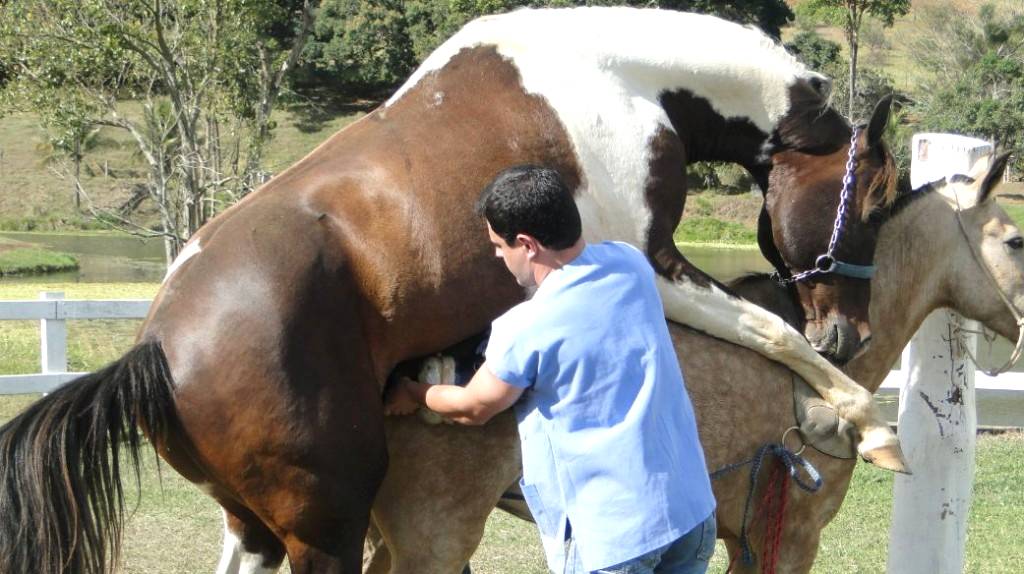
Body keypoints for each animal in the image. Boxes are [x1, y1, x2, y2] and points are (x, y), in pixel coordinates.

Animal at [0, 5, 901, 572]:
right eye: (872, 201)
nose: (852, 332)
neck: (619, 77)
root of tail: (155, 348)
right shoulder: (652, 262)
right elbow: (773, 332)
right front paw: (865, 420)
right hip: (324, 527)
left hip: (254, 525)